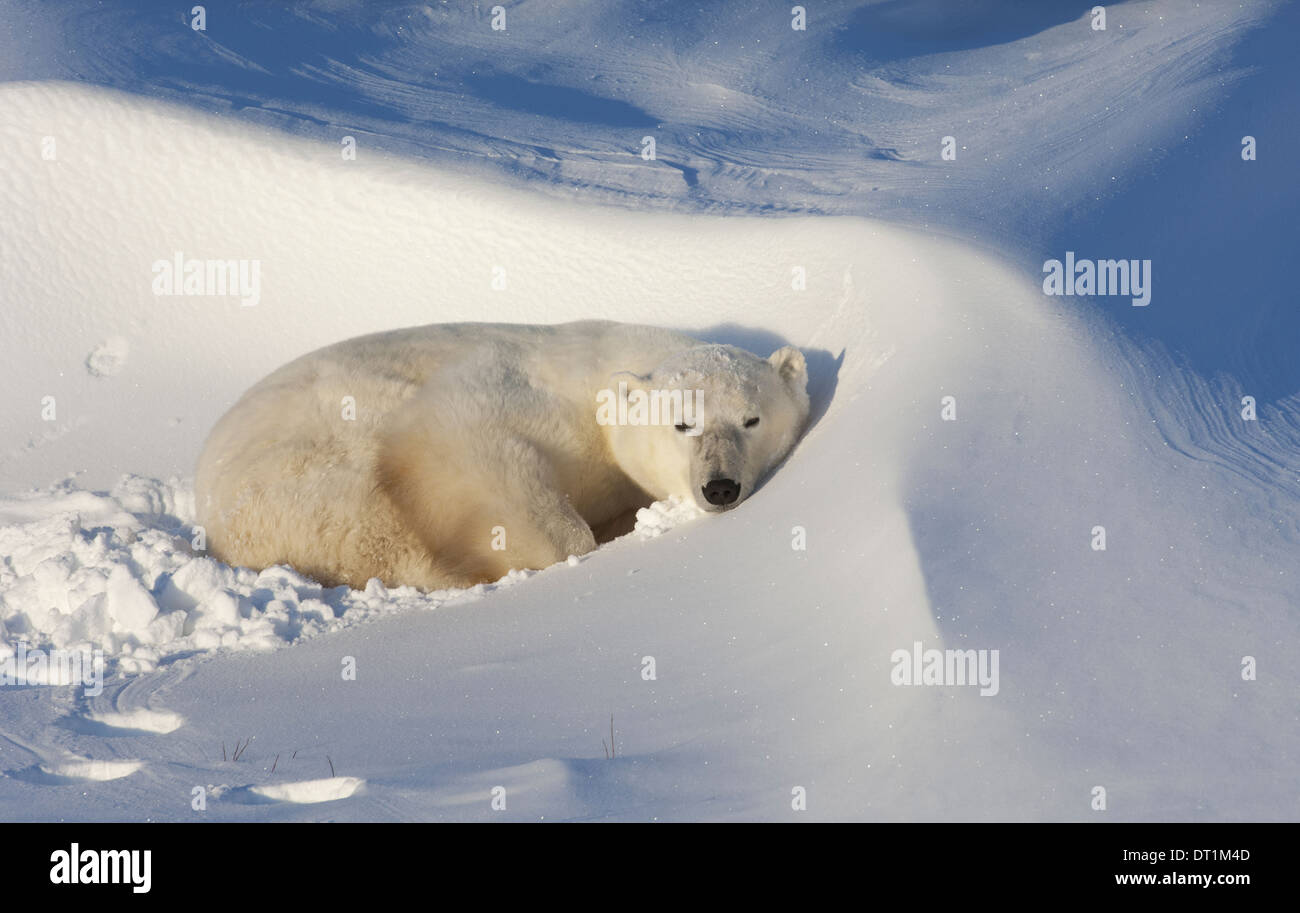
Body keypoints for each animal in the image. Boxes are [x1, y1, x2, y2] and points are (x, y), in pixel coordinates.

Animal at [193, 322, 806, 593]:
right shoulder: (517, 393)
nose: (720, 486)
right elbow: (467, 440)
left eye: (751, 419)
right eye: (682, 423)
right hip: (313, 470)